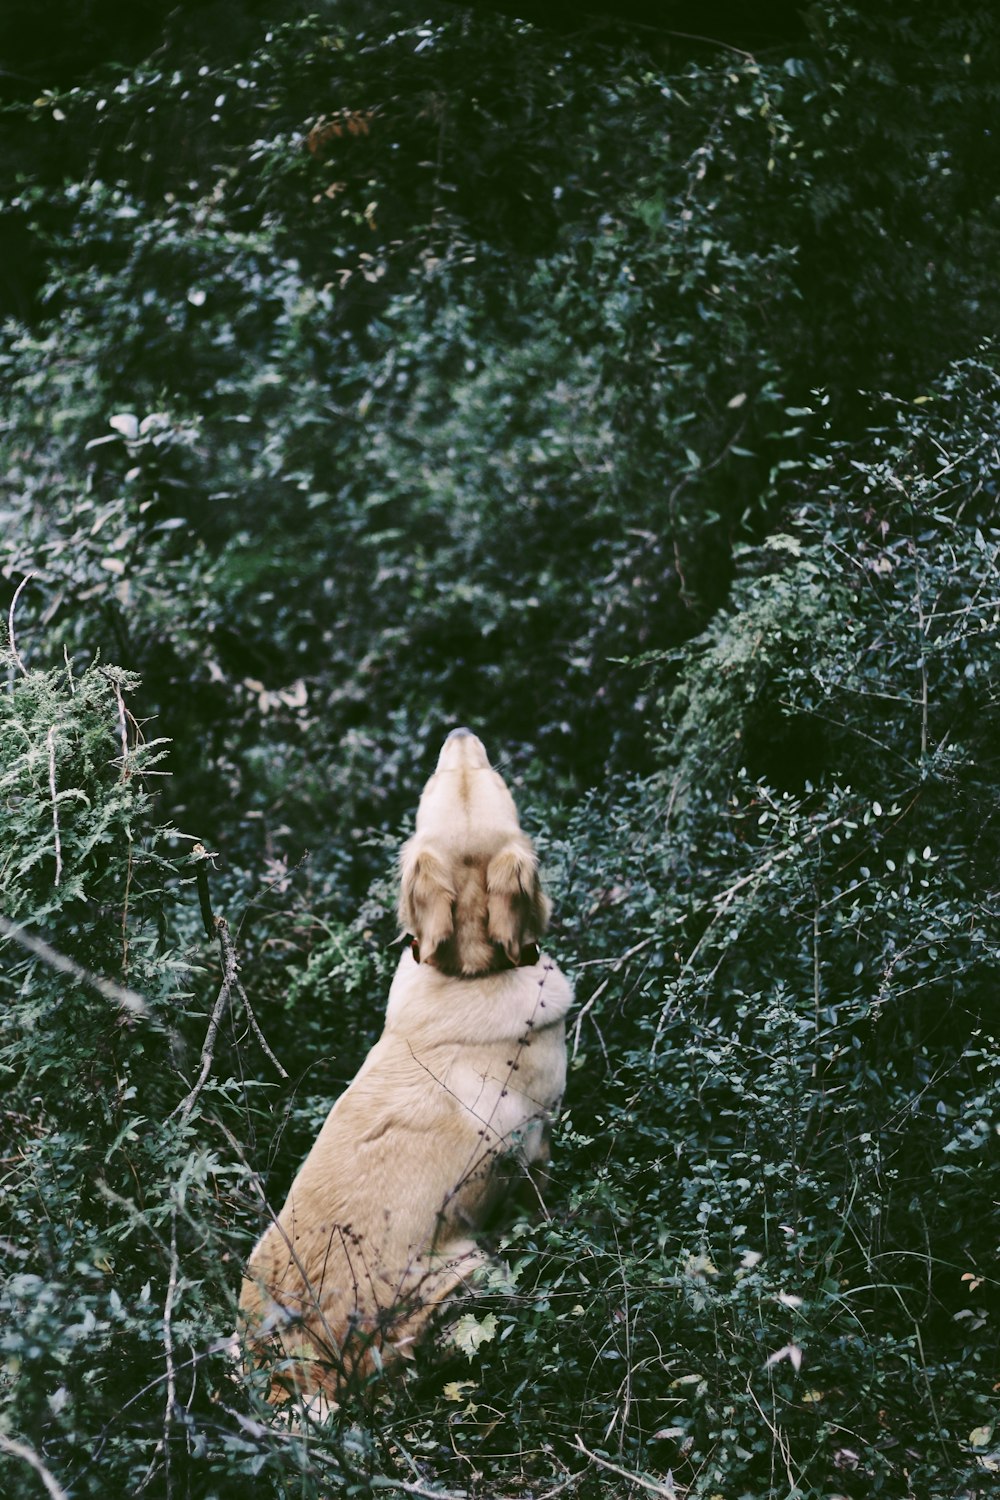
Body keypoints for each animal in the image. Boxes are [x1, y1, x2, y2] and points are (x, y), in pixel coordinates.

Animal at [238, 732, 575, 1398]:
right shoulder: (536, 1141)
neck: (470, 971)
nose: (459, 734)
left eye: (483, 777)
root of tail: (300, 1363)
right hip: (464, 1266)